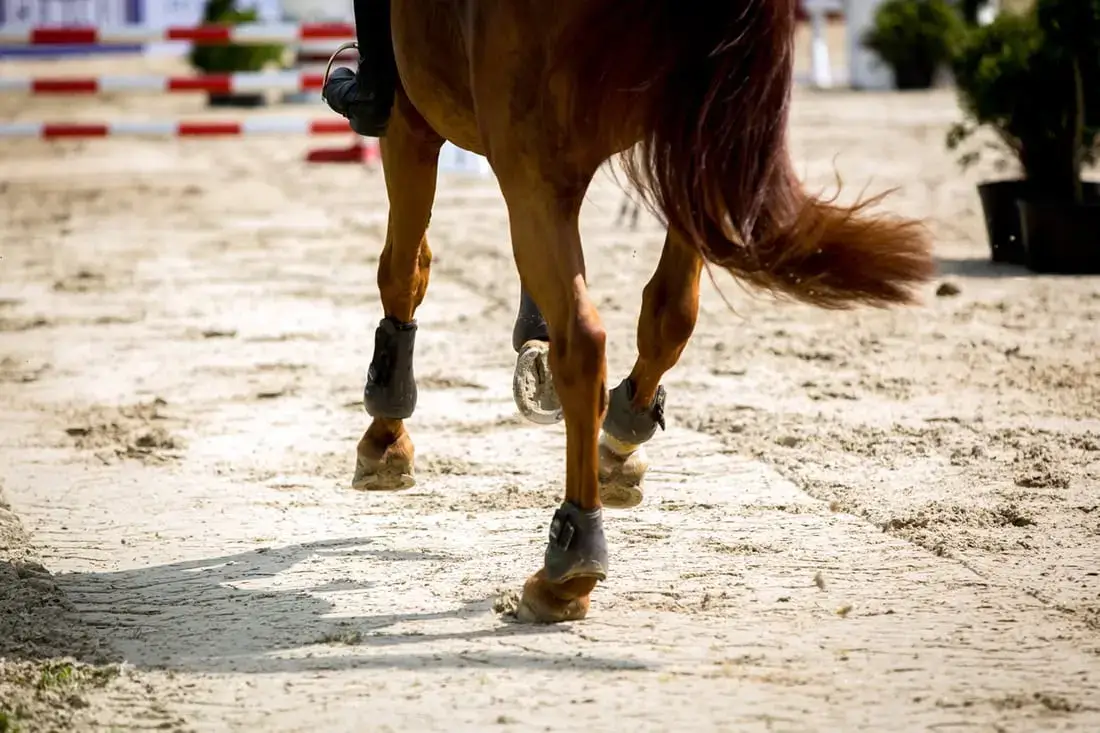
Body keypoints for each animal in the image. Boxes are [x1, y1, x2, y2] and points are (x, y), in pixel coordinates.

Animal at [351, 0, 935, 624]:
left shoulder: (410, 124)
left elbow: (404, 269)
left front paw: (385, 438)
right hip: (684, 151)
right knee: (669, 313)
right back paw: (620, 441)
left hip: (535, 164)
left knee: (584, 341)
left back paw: (569, 566)